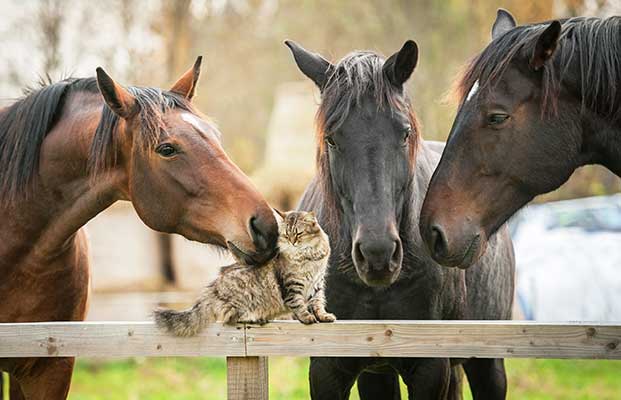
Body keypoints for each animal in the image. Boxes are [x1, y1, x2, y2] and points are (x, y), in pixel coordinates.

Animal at [154, 211, 334, 336]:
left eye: (298, 234)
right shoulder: (292, 286)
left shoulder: (317, 284)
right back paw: (255, 318)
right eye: (286, 235)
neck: (310, 256)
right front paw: (307, 318)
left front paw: (324, 316)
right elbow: (299, 304)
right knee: (229, 318)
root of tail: (212, 290)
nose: (292, 242)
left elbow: (318, 304)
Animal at [284, 41, 512, 400]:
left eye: (404, 133)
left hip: (487, 365)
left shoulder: (431, 369)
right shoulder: (327, 368)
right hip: (378, 372)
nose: (378, 253)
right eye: (332, 138)